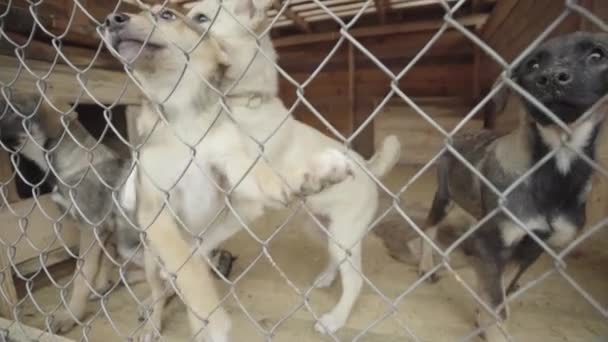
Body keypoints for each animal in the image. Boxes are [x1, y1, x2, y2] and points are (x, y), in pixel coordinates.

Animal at [0, 95, 235, 334]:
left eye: (11, 109)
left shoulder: (91, 228)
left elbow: (82, 275)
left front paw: (71, 315)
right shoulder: (106, 231)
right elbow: (103, 263)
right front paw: (102, 286)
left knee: (172, 284)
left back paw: (148, 306)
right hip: (130, 246)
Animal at [414, 30, 608, 340]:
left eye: (597, 55)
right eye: (532, 65)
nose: (551, 78)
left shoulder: (531, 248)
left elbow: (500, 292)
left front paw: (483, 316)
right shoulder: (494, 243)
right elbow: (497, 306)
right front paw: (490, 325)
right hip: (445, 196)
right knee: (429, 228)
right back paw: (426, 266)